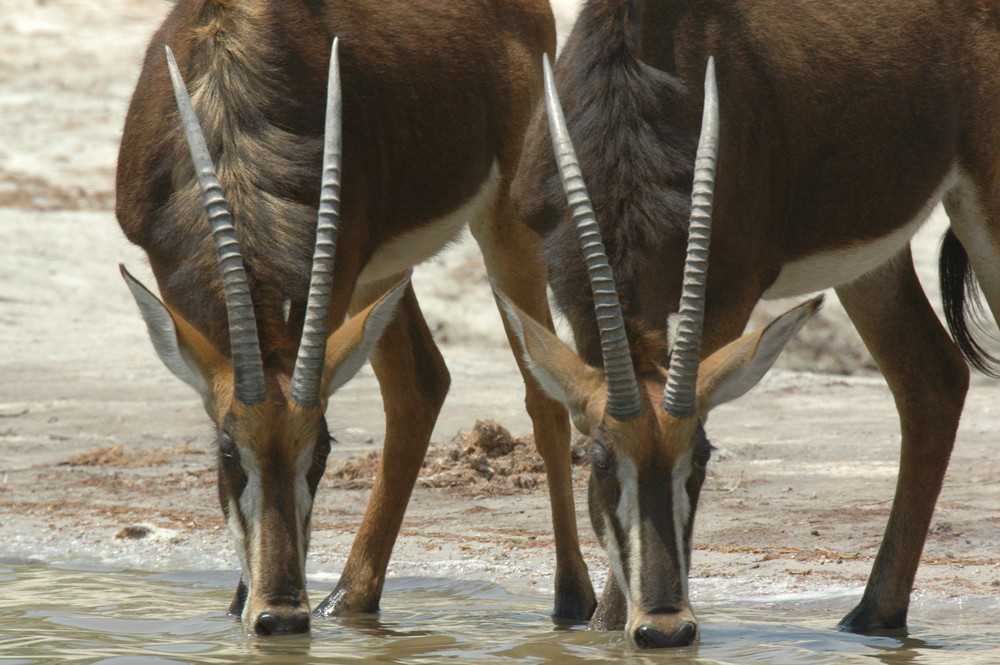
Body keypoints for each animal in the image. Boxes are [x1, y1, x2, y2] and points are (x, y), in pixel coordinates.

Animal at [113, 0, 596, 636]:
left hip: (503, 219)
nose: (281, 616)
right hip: (383, 270)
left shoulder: (336, 261)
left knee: (540, 395)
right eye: (226, 449)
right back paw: (350, 600)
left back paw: (573, 600)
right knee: (421, 383)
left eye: (323, 448)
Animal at [504, 0, 996, 648]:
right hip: (872, 261)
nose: (666, 629)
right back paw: (871, 618)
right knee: (932, 380)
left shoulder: (730, 283)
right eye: (597, 458)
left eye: (703, 455)